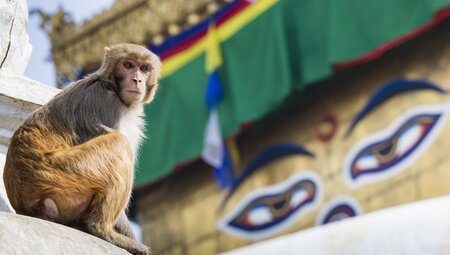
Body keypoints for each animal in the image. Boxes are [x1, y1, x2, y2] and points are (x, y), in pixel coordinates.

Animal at [2, 43, 161, 255]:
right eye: (128, 65)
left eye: (144, 68)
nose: (137, 80)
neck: (110, 85)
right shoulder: (107, 104)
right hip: (64, 173)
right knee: (119, 143)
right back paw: (102, 230)